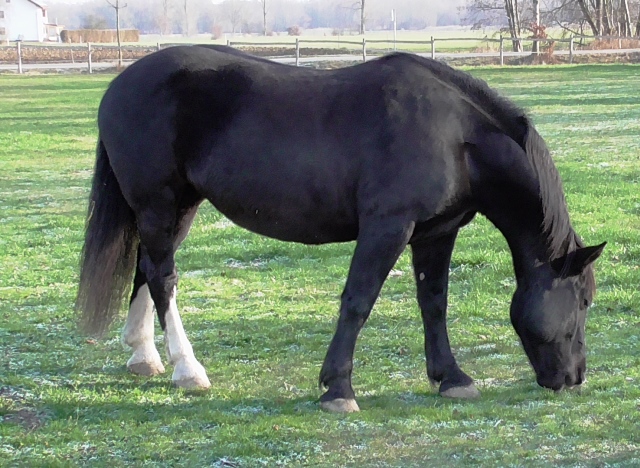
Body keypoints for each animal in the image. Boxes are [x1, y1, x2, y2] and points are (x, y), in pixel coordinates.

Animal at [76, 45, 605, 413]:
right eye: (582, 300)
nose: (575, 377)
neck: (455, 136)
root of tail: (121, 83)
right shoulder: (387, 228)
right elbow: (357, 301)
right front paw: (338, 388)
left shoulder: (436, 232)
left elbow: (433, 303)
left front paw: (452, 378)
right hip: (158, 204)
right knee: (163, 278)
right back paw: (188, 370)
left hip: (176, 208)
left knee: (147, 269)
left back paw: (144, 357)